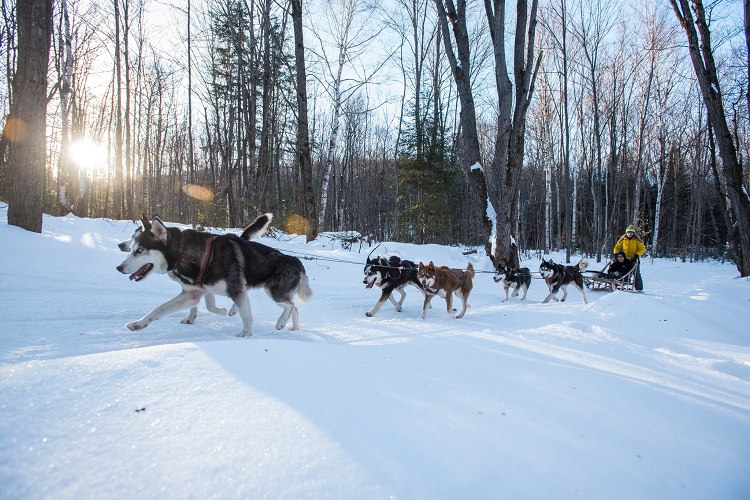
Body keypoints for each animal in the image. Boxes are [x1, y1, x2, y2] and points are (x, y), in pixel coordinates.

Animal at [114, 214, 312, 336]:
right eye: (133, 247)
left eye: (139, 250)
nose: (119, 268)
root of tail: (297, 260)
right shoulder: (194, 292)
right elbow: (160, 308)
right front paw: (139, 324)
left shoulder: (235, 289)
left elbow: (246, 315)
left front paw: (246, 333)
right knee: (294, 308)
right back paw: (293, 327)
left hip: (274, 292)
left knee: (291, 305)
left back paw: (281, 322)